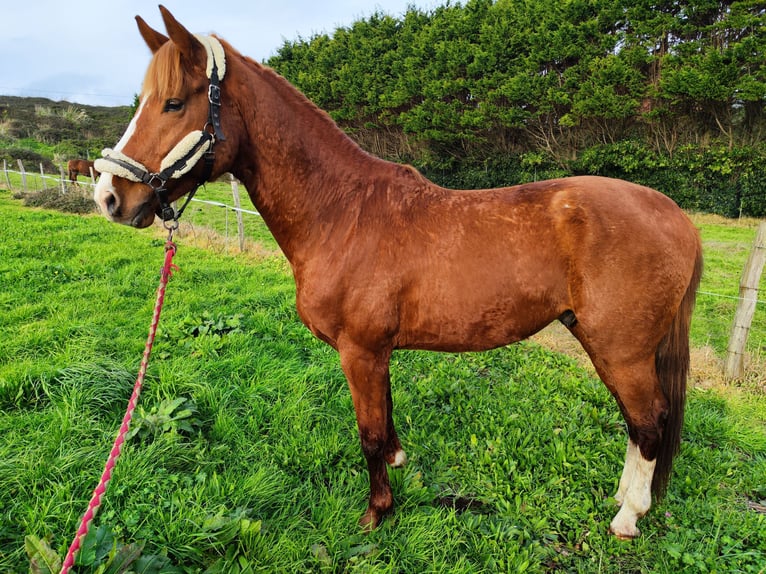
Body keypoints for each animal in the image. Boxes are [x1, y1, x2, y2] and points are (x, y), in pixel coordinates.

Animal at [93, 6, 704, 544]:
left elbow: (366, 434)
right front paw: (399, 466)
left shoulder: (359, 351)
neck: (341, 212)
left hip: (620, 351)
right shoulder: (378, 353)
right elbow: (384, 422)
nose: (108, 197)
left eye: (174, 103)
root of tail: (673, 213)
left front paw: (377, 512)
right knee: (636, 424)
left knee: (648, 421)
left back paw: (628, 517)